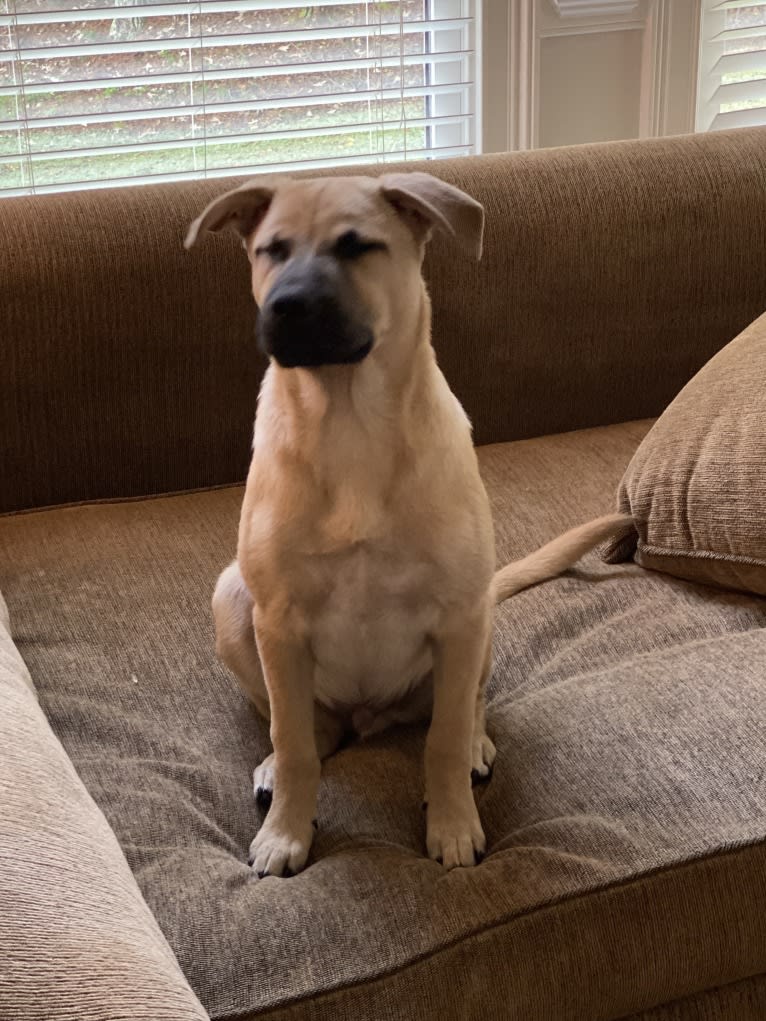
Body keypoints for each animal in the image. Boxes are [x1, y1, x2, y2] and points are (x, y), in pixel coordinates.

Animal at [185, 173, 637, 878]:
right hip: (233, 600)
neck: (349, 420)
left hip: (479, 617)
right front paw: (285, 833)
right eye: (270, 251)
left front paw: (452, 827)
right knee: (306, 727)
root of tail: (370, 716)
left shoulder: (458, 616)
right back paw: (275, 763)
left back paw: (477, 745)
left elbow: (442, 741)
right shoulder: (277, 621)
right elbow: (295, 742)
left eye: (357, 245)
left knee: (466, 704)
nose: (286, 307)